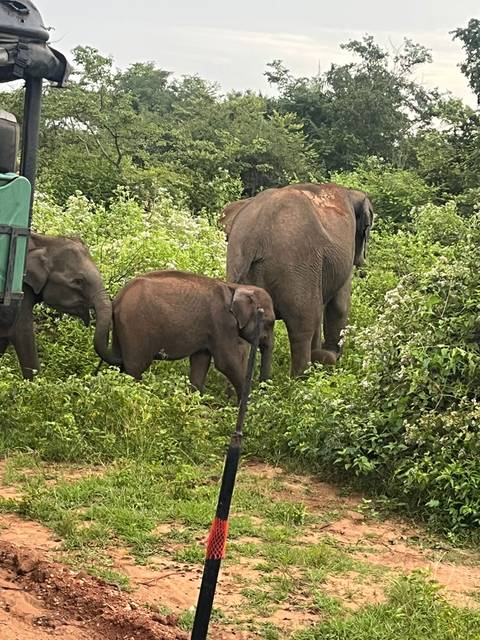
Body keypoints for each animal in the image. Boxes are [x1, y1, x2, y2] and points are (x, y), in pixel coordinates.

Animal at [95, 270, 275, 401]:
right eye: (270, 322)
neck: (236, 287)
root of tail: (118, 298)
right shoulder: (222, 323)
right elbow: (227, 363)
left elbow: (201, 361)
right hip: (135, 327)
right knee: (135, 367)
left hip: (122, 328)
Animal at [223, 183, 374, 376]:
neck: (350, 192)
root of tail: (254, 237)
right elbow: (340, 304)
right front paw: (330, 357)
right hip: (297, 265)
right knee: (303, 324)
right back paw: (300, 378)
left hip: (240, 263)